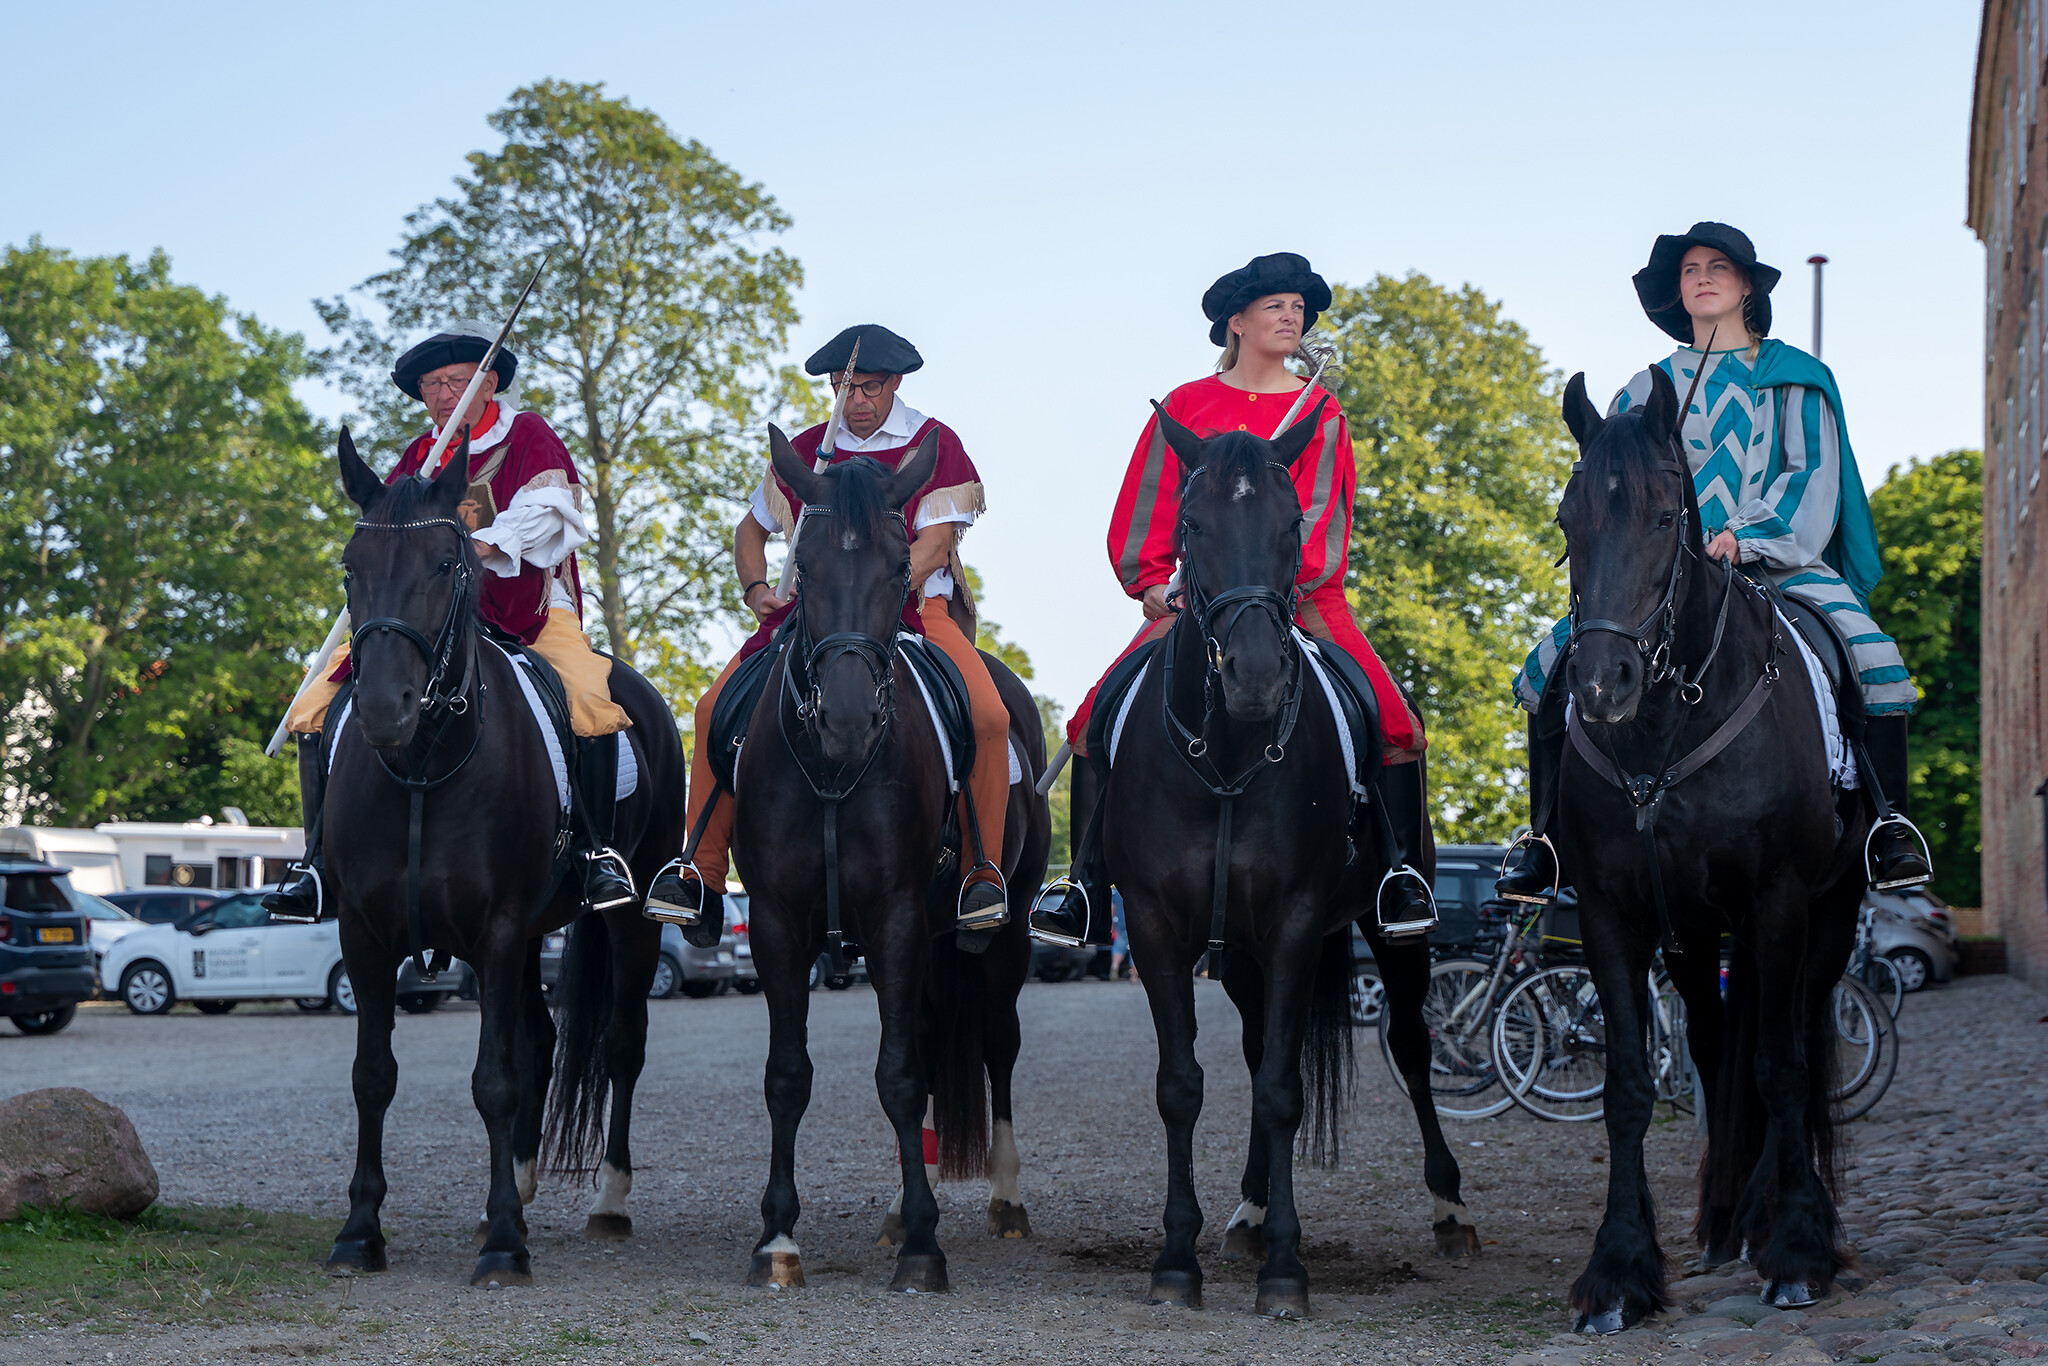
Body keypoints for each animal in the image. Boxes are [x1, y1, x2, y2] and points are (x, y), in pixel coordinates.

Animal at [325, 432, 688, 1286]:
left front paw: (501, 1246)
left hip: (628, 922)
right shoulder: (365, 933)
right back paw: (517, 1189)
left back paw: (608, 1200)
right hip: (528, 940)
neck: (425, 766)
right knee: (544, 1044)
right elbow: (372, 1076)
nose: (383, 708)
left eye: (445, 564)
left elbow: (495, 1078)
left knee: (619, 1044)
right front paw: (361, 1230)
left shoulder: (493, 930)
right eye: (351, 567)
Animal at [737, 428, 1048, 1294]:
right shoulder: (776, 922)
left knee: (997, 1043)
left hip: (997, 932)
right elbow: (788, 1074)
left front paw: (925, 1249)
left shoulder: (899, 916)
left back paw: (1004, 1200)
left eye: (899, 562)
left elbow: (901, 1076)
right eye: (804, 567)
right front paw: (778, 1239)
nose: (845, 719)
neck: (833, 771)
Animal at [1105, 409, 1474, 1327]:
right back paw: (1246, 1208)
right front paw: (1178, 1259)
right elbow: (1183, 1083)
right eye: (1190, 526)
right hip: (1239, 954)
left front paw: (1286, 1271)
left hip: (1392, 935)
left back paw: (1450, 1210)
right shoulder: (1156, 926)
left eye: (1291, 528)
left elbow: (1281, 1089)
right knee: (1250, 1046)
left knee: (1411, 1045)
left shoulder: (1299, 922)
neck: (1229, 756)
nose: (1257, 677)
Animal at [1548, 368, 1875, 1327]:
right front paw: (1620, 1269)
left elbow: (1784, 1064)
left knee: (1788, 1036)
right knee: (1715, 1038)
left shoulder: (1780, 901)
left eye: (1666, 517)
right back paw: (1730, 1215)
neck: (1666, 723)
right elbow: (1628, 1084)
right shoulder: (1613, 914)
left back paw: (1776, 1216)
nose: (1600, 686)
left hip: (1822, 917)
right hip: (1695, 935)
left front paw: (1800, 1249)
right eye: (1569, 520)